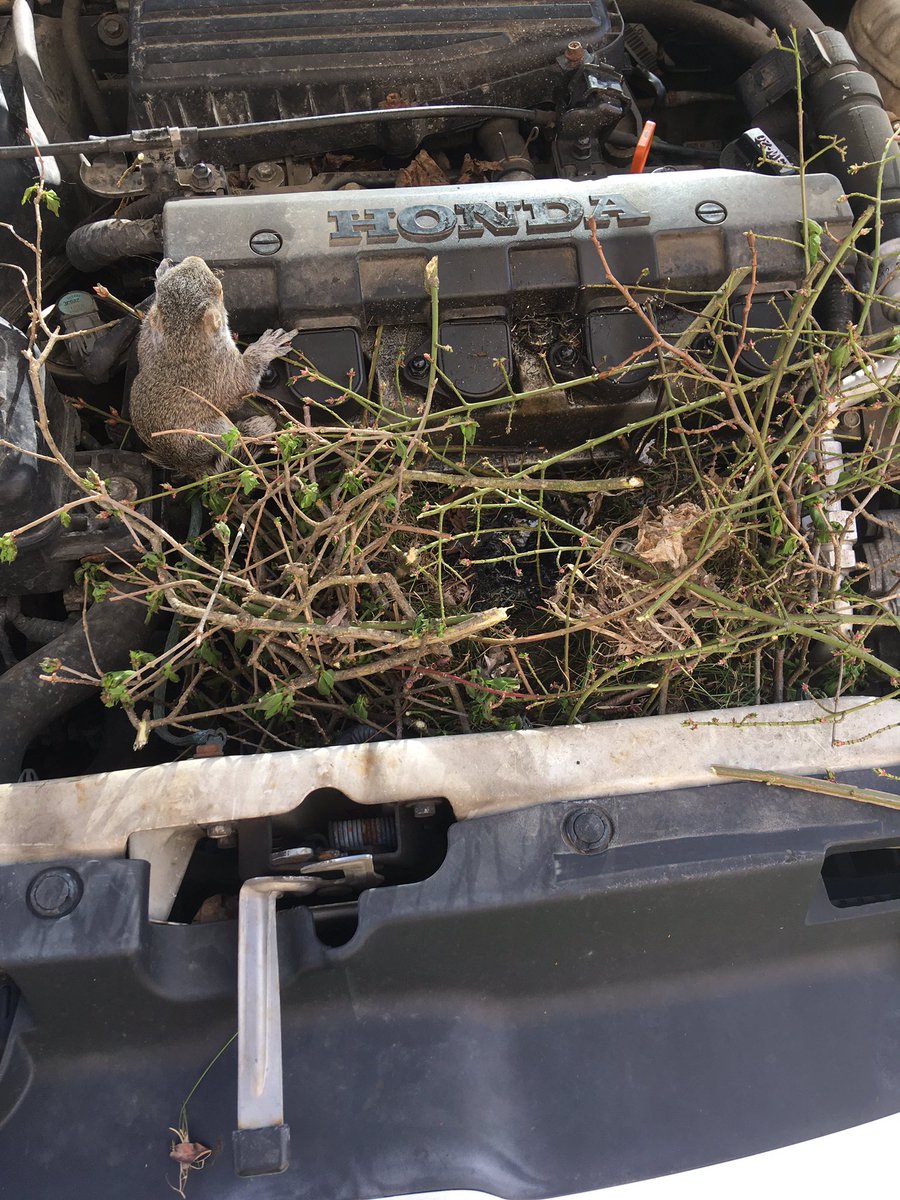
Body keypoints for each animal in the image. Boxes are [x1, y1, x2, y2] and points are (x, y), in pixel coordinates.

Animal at [129, 256, 297, 475]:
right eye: (220, 290)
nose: (195, 258)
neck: (181, 339)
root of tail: (187, 466)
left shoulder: (149, 338)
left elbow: (149, 321)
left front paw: (161, 272)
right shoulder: (220, 372)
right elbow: (242, 384)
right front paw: (266, 346)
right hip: (213, 433)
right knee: (231, 442)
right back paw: (257, 429)